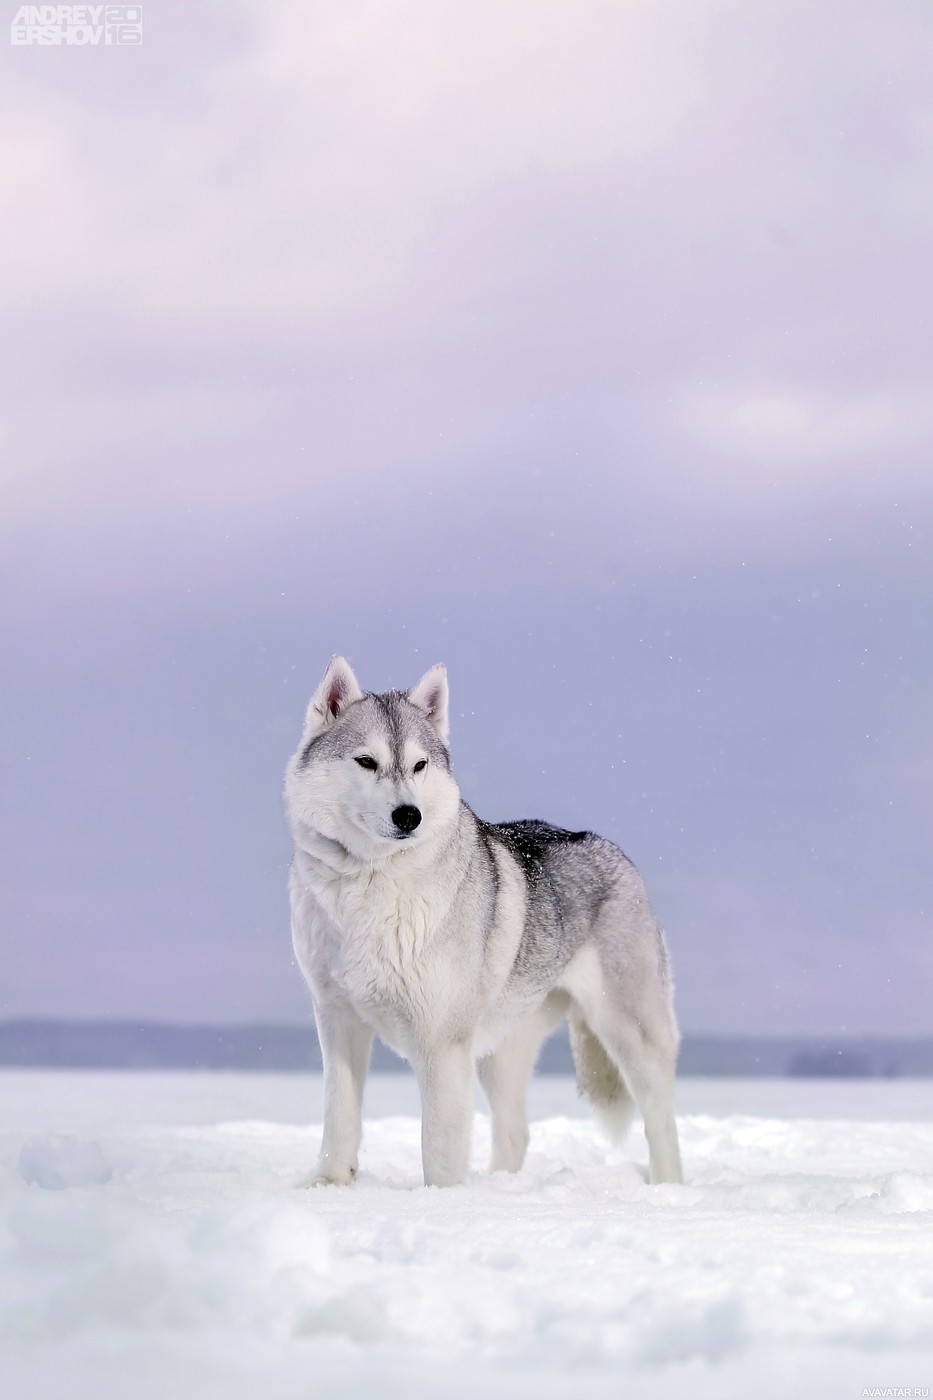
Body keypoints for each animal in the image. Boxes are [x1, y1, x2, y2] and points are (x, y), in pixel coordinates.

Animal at [280, 660, 680, 1187]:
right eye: (366, 761)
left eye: (420, 766)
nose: (409, 815)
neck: (367, 883)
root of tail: (607, 847)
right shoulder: (338, 1021)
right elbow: (338, 1120)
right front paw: (329, 1185)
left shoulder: (442, 1048)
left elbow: (440, 1152)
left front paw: (442, 1203)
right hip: (499, 1055)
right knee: (516, 1134)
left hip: (630, 1034)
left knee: (662, 1125)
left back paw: (668, 1189)